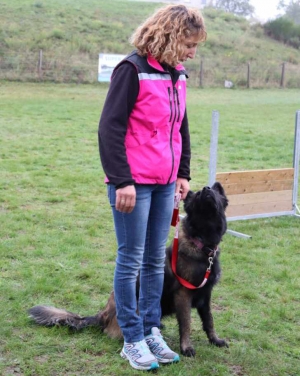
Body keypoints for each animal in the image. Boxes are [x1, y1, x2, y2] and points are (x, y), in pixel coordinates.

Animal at [29, 184, 229, 356]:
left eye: (214, 192)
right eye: (197, 195)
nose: (207, 188)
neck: (202, 244)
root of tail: (102, 314)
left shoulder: (206, 295)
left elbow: (209, 320)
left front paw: (215, 340)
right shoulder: (183, 295)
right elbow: (186, 323)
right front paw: (186, 347)